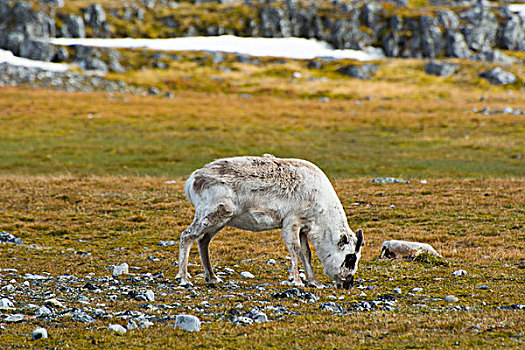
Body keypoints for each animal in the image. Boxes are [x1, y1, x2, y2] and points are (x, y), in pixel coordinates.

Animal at [174, 156, 362, 290]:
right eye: (350, 257)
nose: (348, 284)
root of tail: (192, 180)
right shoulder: (291, 222)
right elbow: (295, 249)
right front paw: (296, 280)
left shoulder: (303, 227)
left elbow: (306, 253)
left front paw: (314, 282)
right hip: (213, 213)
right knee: (187, 235)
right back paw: (183, 278)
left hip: (220, 220)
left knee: (203, 240)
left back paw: (212, 277)